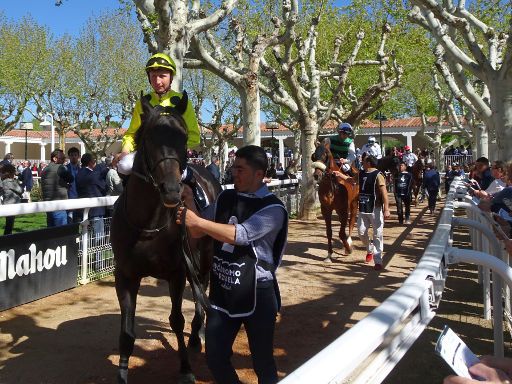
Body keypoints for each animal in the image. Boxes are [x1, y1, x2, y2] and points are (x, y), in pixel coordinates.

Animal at [110, 94, 222, 384]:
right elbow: (126, 331)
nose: (171, 190)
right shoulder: (125, 275)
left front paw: (185, 369)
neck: (147, 226)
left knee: (202, 288)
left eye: (182, 137)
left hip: (205, 255)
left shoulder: (176, 272)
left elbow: (176, 320)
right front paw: (122, 375)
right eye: (149, 136)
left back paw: (198, 334)